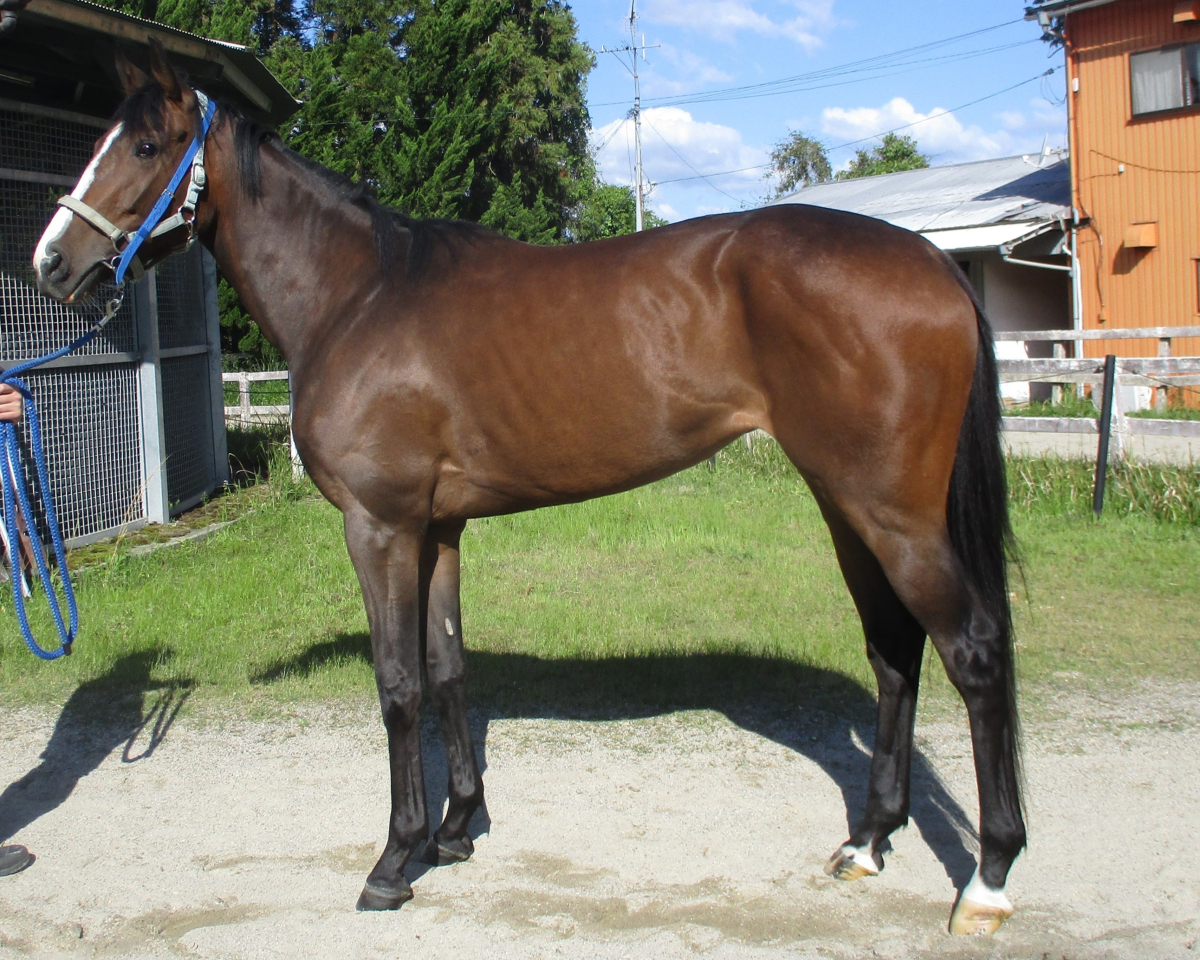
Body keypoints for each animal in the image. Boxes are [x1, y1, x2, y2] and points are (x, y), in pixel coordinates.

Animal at [32, 40, 1025, 936]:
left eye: (145, 146)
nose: (50, 263)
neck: (357, 296)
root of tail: (934, 263)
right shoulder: (438, 530)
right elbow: (448, 668)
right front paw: (456, 829)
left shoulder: (380, 527)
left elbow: (398, 684)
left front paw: (394, 861)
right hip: (847, 505)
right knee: (895, 651)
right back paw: (870, 841)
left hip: (891, 514)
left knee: (972, 651)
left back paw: (987, 878)